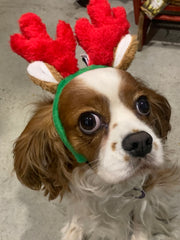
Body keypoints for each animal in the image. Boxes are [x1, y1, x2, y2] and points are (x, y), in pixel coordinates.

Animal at [13, 65, 180, 240]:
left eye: (143, 104)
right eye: (88, 121)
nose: (140, 141)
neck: (106, 185)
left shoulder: (145, 196)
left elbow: (141, 220)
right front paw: (74, 230)